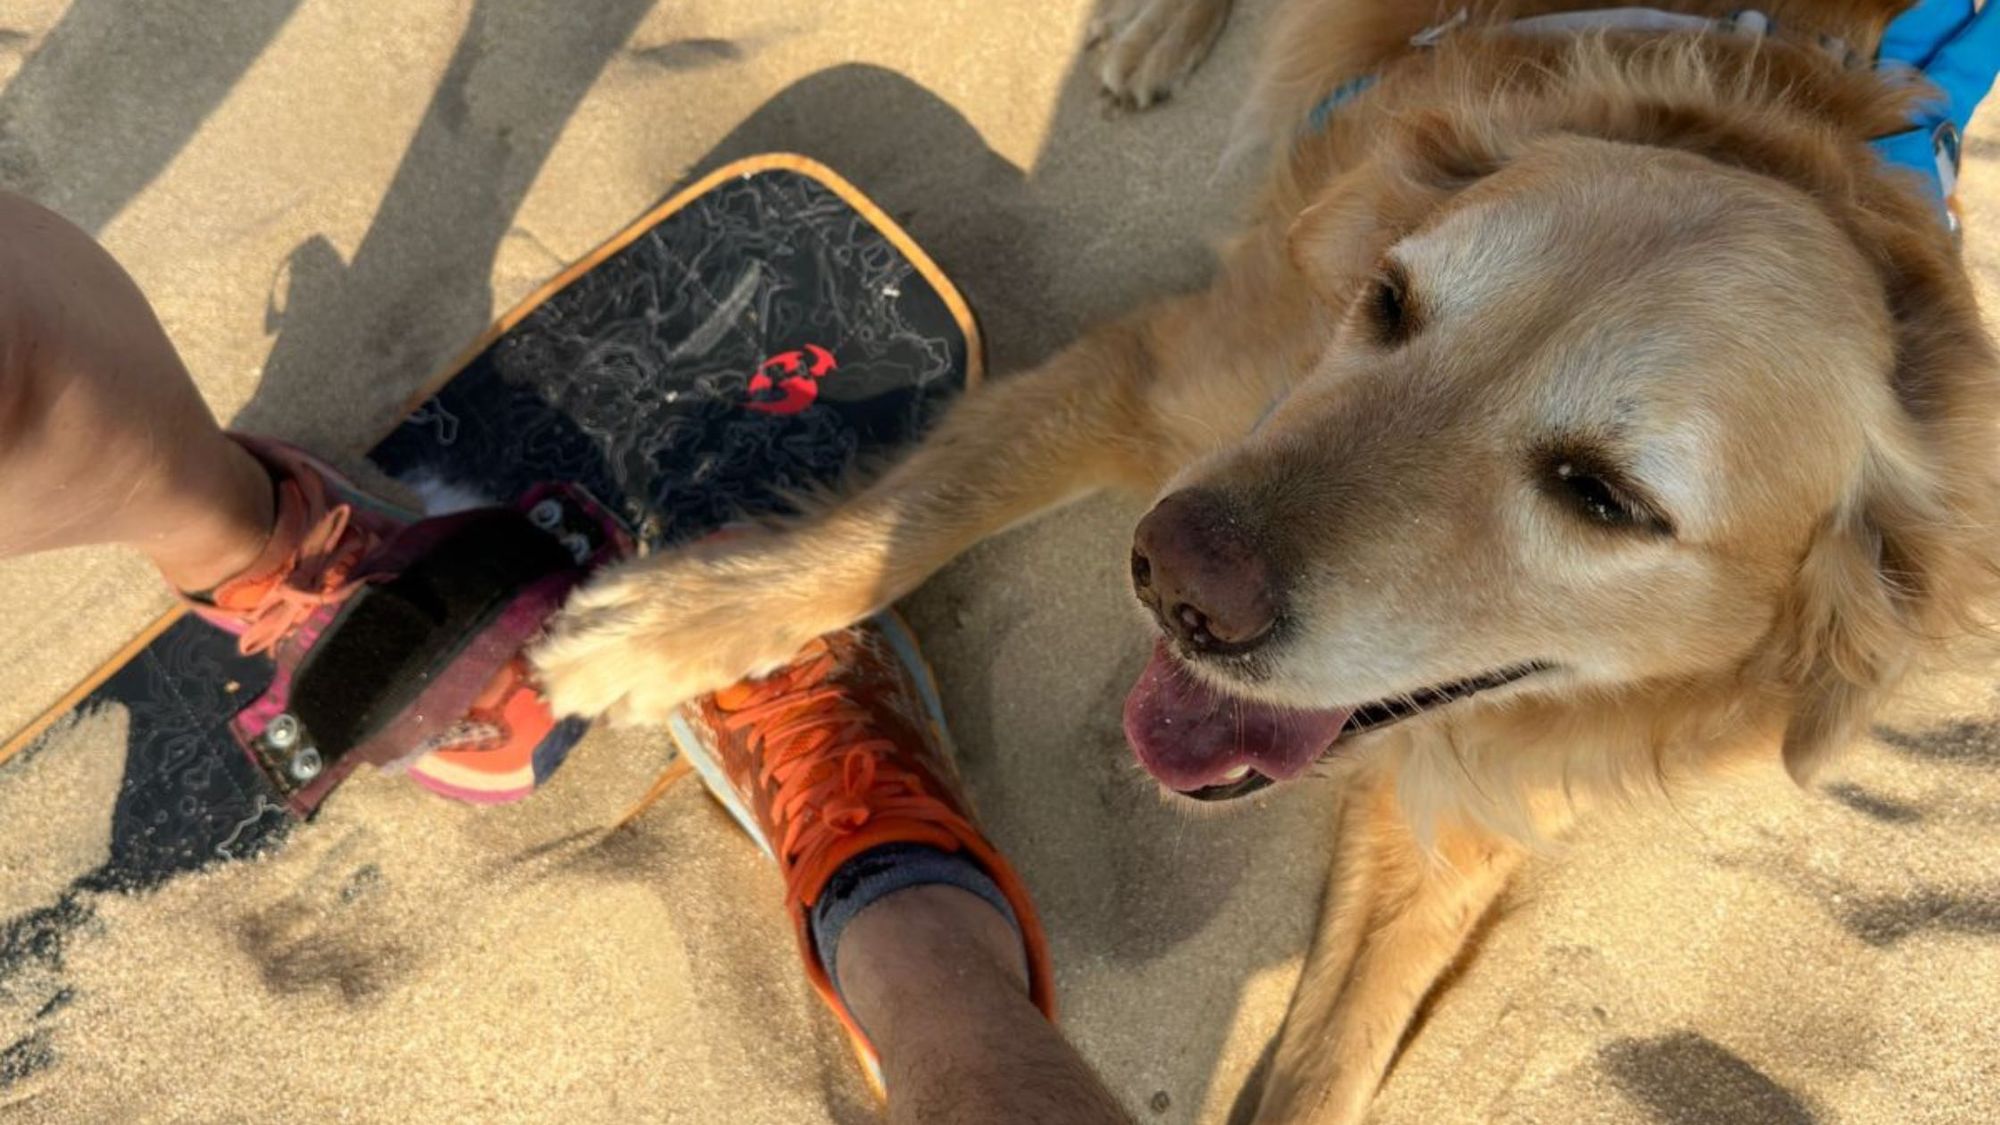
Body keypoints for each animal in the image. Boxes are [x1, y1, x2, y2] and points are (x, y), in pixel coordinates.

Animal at [540, 4, 1992, 1112]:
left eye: (1606, 497)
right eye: (1389, 301)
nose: (1174, 580)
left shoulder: (1467, 812)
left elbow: (1336, 1057)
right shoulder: (1155, 379)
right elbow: (879, 534)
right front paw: (658, 632)